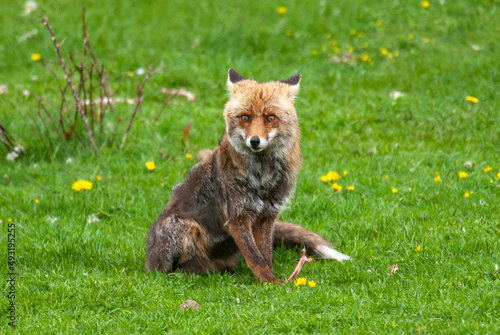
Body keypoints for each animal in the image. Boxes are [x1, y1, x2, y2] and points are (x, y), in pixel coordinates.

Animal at [145, 70, 348, 284]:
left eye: (270, 118)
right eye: (245, 117)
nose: (255, 141)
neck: (264, 176)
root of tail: (148, 260)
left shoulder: (267, 215)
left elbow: (265, 255)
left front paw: (270, 281)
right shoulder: (238, 217)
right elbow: (255, 257)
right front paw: (271, 283)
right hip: (180, 229)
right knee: (167, 271)